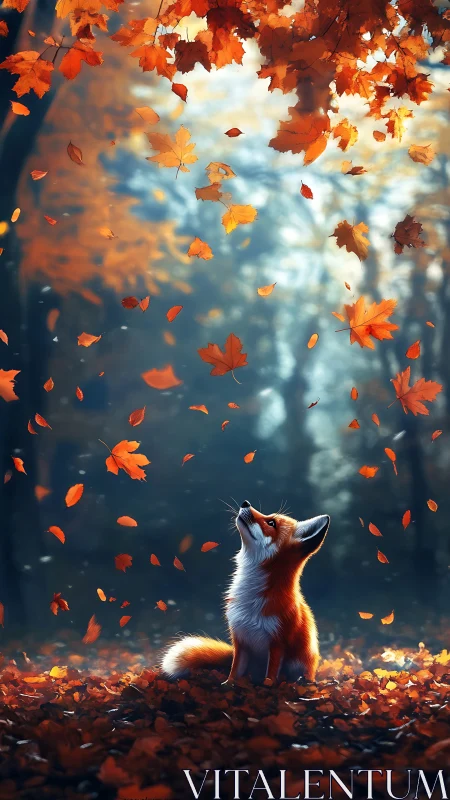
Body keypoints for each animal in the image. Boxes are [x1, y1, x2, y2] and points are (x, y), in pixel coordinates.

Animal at [161, 501, 330, 685]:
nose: (245, 503)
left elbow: (271, 675)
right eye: (270, 518)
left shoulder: (278, 643)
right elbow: (235, 671)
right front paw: (228, 685)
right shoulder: (240, 639)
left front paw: (267, 687)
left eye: (271, 523)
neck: (252, 600)